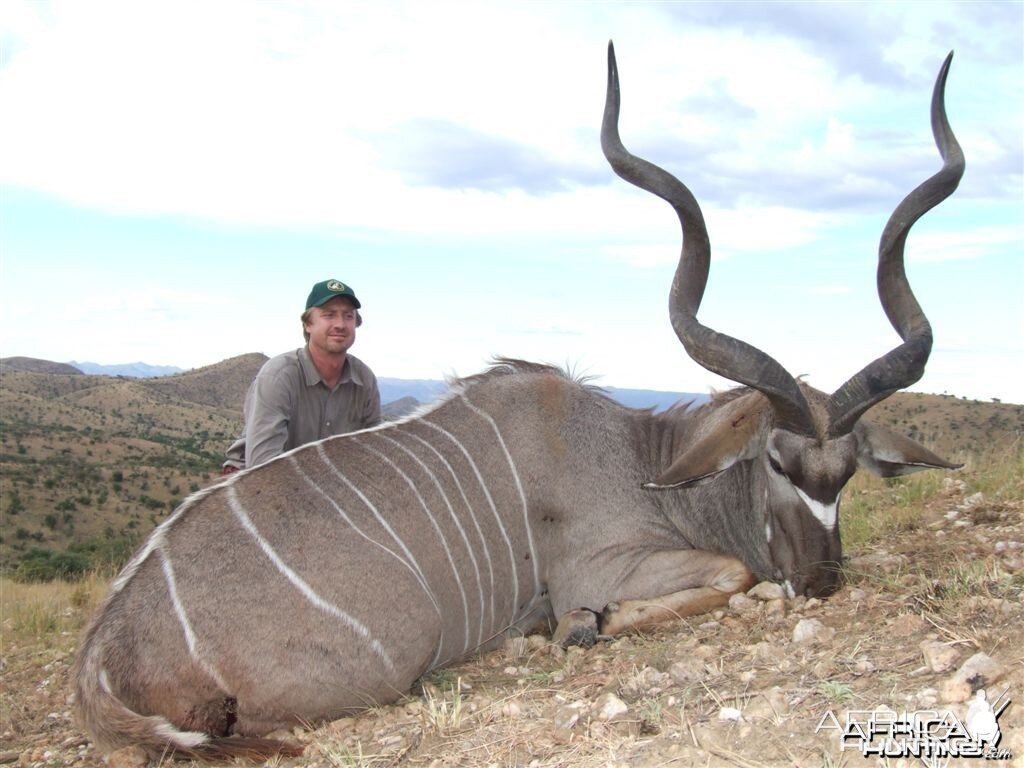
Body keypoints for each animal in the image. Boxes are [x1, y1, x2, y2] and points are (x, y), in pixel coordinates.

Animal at [75, 45, 962, 761]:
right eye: (776, 462)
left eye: (847, 472)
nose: (822, 580)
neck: (640, 458)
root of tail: (102, 656)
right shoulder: (598, 568)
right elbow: (729, 574)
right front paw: (587, 626)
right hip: (394, 651)